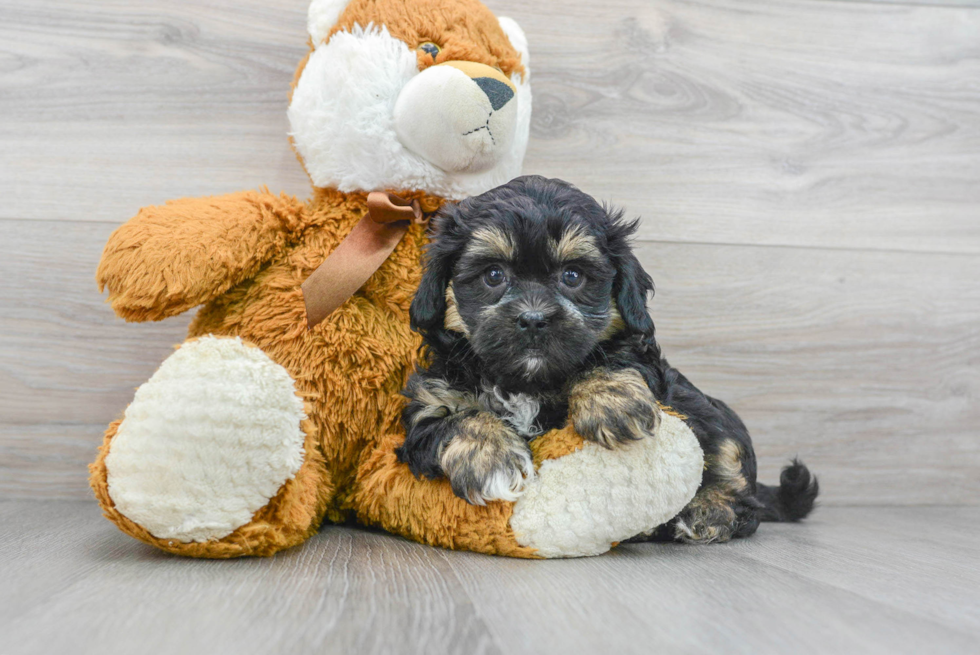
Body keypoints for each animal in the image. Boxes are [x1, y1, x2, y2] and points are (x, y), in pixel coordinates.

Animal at [398, 174, 820, 544]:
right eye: (493, 275)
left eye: (572, 276)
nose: (533, 319)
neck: (527, 382)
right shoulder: (430, 403)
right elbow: (455, 418)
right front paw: (490, 457)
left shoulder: (644, 365)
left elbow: (611, 359)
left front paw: (612, 403)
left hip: (718, 423)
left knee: (737, 482)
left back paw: (707, 511)